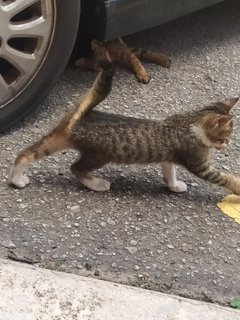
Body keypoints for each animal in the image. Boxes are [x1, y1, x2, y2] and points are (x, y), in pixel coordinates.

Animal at [9, 40, 240, 195]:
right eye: (225, 136)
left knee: (25, 154)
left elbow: (169, 171)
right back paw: (97, 184)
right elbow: (225, 178)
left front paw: (173, 185)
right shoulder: (199, 164)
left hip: (57, 138)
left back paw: (17, 179)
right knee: (76, 168)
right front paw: (236, 188)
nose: (227, 144)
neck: (191, 121)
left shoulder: (168, 157)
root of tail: (81, 118)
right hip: (99, 155)